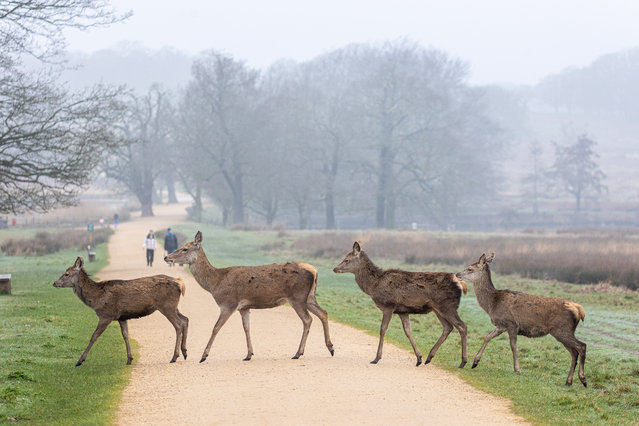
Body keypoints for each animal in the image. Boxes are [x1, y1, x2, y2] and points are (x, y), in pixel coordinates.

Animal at [53, 256, 189, 366]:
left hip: (166, 306)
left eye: (67, 274)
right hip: (173, 307)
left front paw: (80, 360)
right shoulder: (122, 317)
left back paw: (174, 356)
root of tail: (180, 282)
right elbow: (125, 335)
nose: (55, 282)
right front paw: (129, 359)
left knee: (178, 325)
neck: (96, 298)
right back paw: (185, 352)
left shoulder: (106, 315)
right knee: (185, 319)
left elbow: (94, 336)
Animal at [164, 231, 336, 364]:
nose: (166, 257)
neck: (215, 283)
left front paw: (203, 356)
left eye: (185, 249)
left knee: (308, 319)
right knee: (323, 313)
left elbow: (216, 327)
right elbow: (246, 328)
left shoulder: (229, 304)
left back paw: (298, 353)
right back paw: (331, 348)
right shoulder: (244, 307)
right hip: (309, 297)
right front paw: (248, 355)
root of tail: (314, 270)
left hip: (297, 297)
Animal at [332, 241, 468, 368]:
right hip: (437, 309)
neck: (373, 285)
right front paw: (419, 358)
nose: (334, 269)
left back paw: (463, 362)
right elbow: (408, 331)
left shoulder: (388, 306)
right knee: (448, 327)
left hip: (448, 306)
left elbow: (383, 329)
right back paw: (429, 357)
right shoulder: (403, 311)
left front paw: (376, 358)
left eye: (347, 259)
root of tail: (460, 283)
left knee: (462, 326)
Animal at [458, 253, 588, 390]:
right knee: (574, 352)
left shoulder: (511, 323)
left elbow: (513, 345)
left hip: (561, 329)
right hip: (563, 332)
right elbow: (487, 337)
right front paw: (475, 362)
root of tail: (579, 309)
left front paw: (517, 369)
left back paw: (583, 379)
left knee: (582, 346)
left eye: (470, 269)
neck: (492, 304)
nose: (457, 274)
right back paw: (568, 381)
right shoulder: (501, 325)